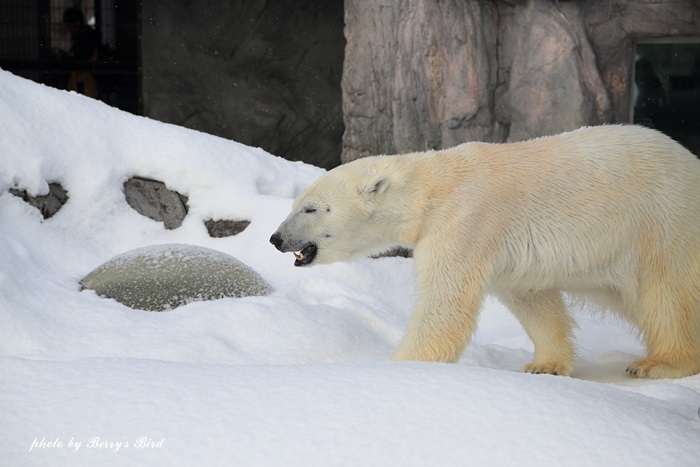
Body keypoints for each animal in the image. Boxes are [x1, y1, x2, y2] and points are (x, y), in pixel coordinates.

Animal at [270, 125, 700, 380]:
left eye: (311, 209)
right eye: (297, 205)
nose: (276, 238)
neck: (432, 188)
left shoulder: (466, 222)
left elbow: (443, 306)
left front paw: (398, 370)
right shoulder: (510, 251)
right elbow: (532, 299)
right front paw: (545, 365)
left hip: (662, 219)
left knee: (666, 292)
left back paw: (659, 363)